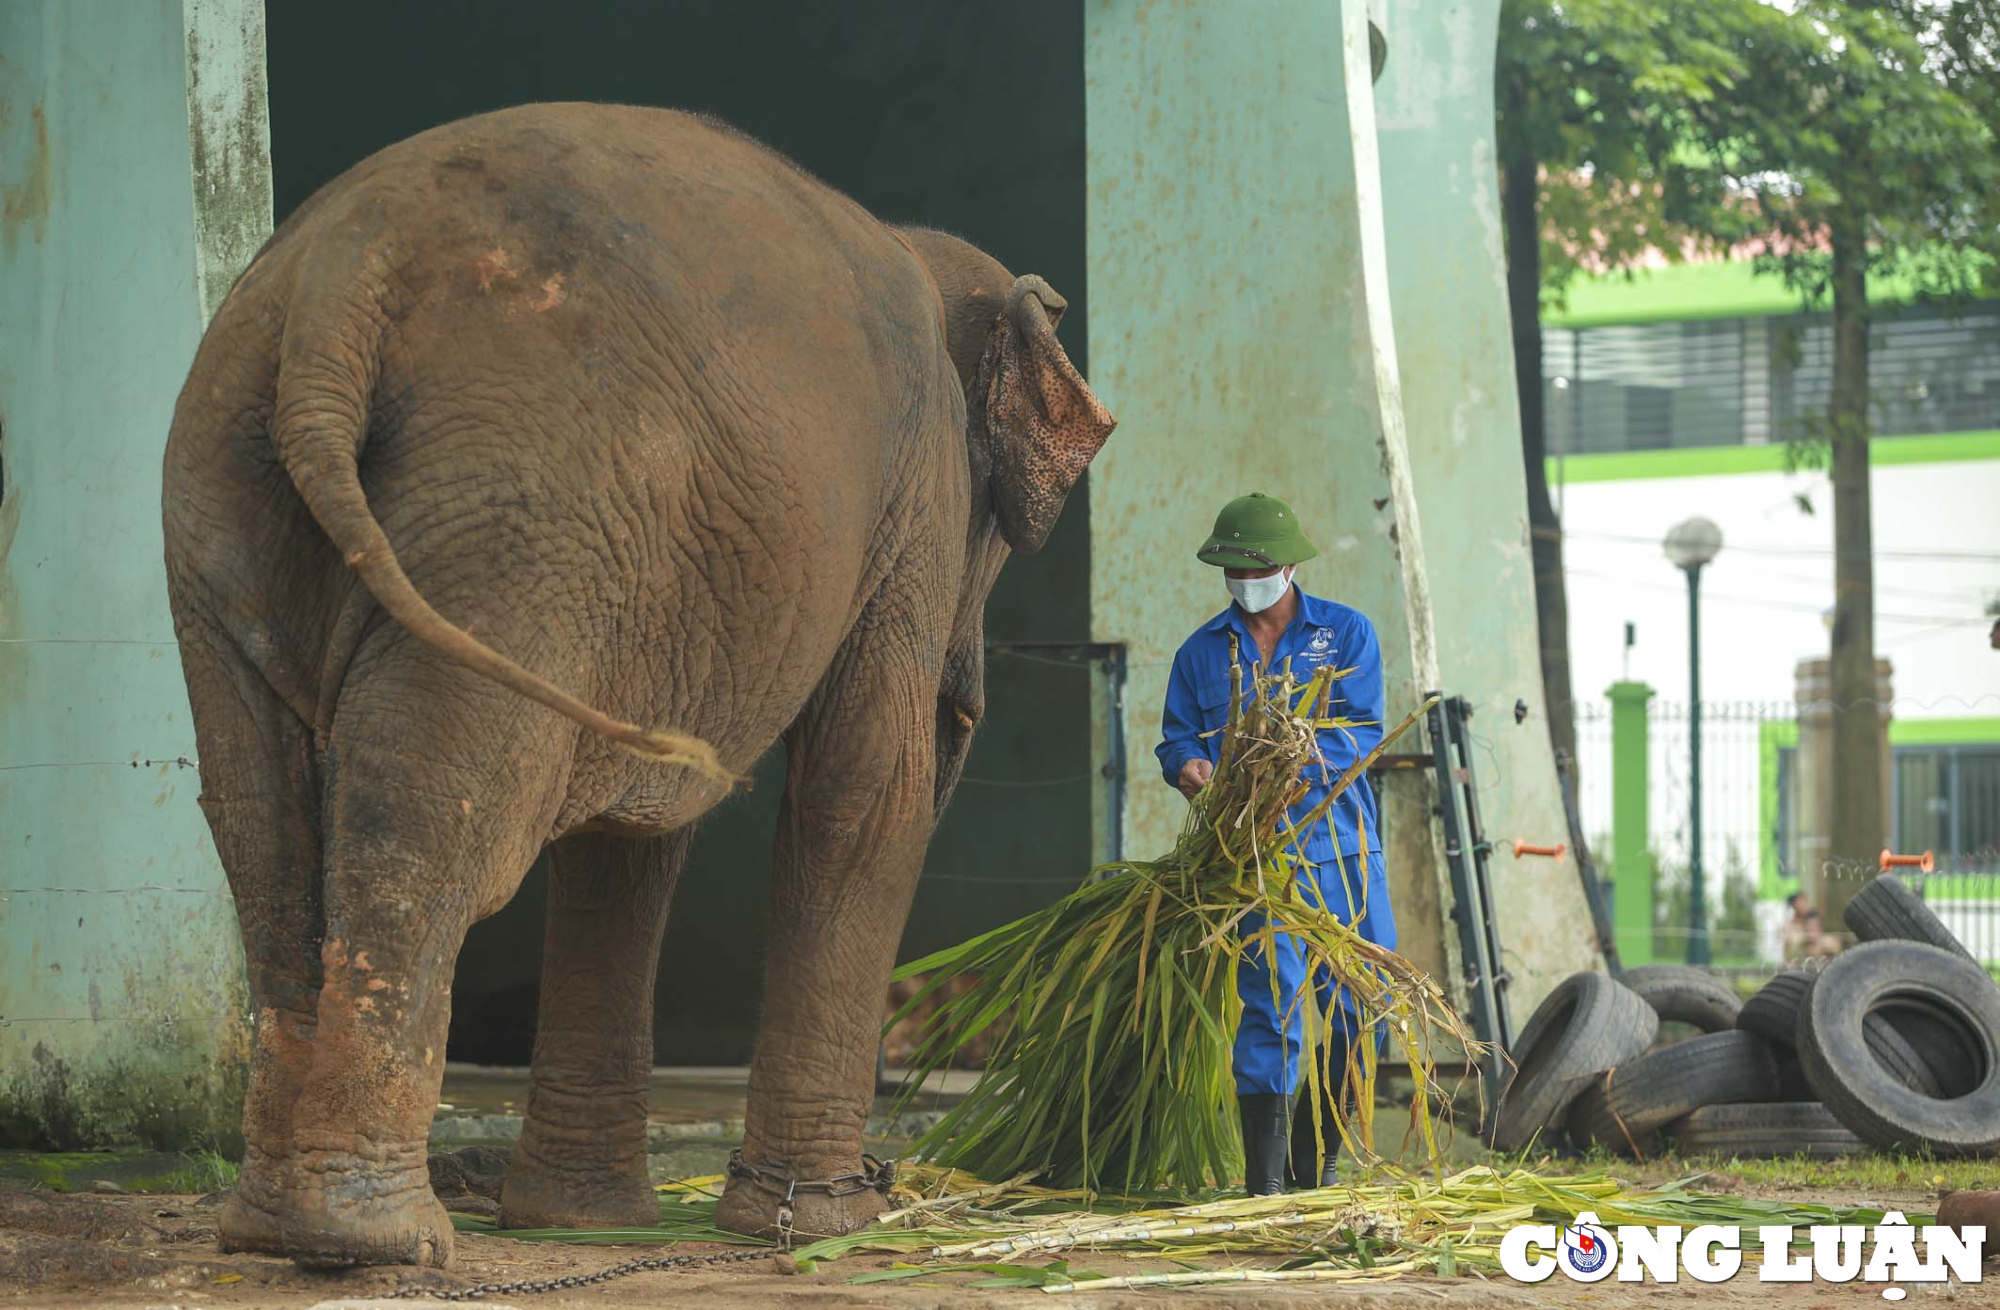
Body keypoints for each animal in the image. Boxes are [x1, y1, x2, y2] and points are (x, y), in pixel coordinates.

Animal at [160, 105, 1112, 1272]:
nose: (971, 698)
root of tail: (339, 289)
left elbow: (629, 833)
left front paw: (582, 1220)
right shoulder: (915, 501)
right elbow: (862, 794)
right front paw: (826, 1222)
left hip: (232, 490)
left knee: (264, 826)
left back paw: (277, 1228)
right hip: (515, 521)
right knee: (433, 820)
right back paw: (373, 1238)